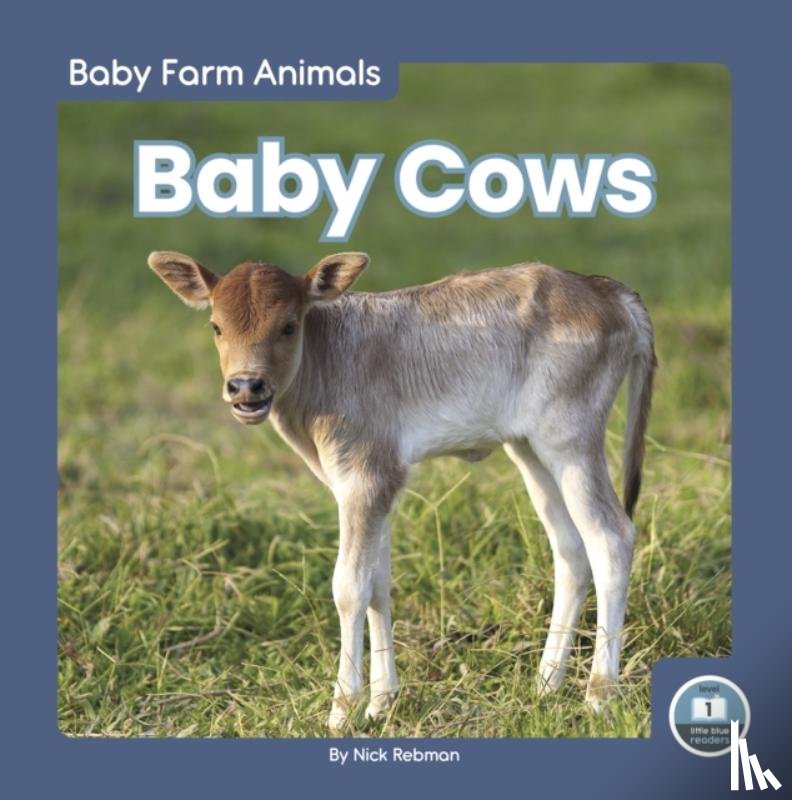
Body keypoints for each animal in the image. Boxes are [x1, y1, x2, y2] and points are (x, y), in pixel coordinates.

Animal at [148, 250, 656, 731]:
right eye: (216, 326)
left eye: (289, 326)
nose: (245, 387)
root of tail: (605, 290)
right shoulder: (379, 482)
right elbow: (378, 584)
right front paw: (381, 704)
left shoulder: (364, 476)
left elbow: (349, 586)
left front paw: (342, 710)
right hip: (530, 448)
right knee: (569, 548)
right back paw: (545, 685)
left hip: (571, 439)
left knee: (611, 537)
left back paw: (598, 696)